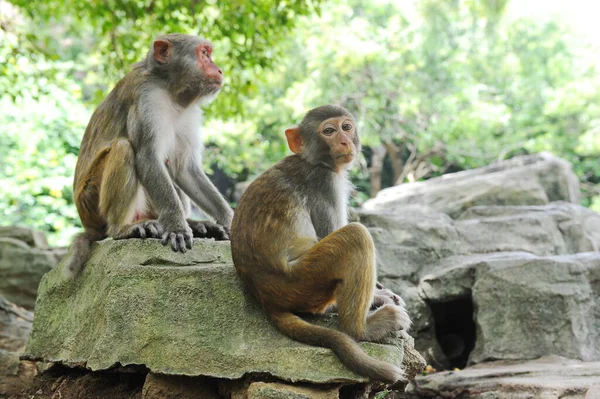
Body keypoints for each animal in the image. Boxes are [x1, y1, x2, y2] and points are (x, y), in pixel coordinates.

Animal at [65, 33, 234, 278]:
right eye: (204, 54)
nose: (219, 70)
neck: (170, 90)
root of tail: (87, 224)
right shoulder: (147, 99)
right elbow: (147, 158)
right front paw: (176, 227)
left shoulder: (189, 113)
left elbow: (184, 168)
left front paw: (231, 222)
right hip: (91, 201)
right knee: (124, 148)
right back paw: (123, 229)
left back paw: (193, 224)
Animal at [231, 105, 412, 384]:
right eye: (329, 131)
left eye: (346, 127)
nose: (345, 140)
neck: (314, 161)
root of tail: (265, 297)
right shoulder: (324, 184)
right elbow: (332, 231)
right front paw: (378, 295)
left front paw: (381, 293)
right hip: (303, 282)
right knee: (355, 236)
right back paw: (362, 329)